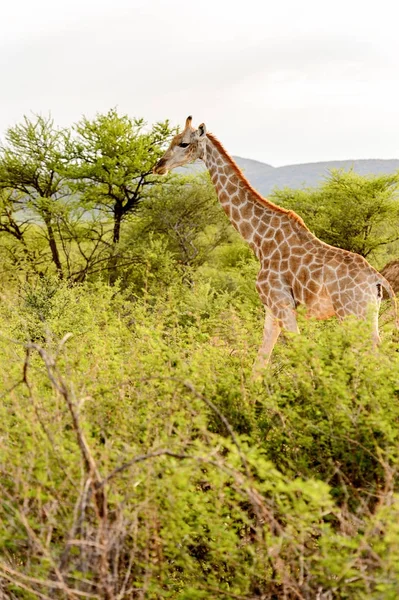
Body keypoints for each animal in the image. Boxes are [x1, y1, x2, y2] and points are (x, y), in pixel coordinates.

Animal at [152, 116, 396, 370]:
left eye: (183, 143)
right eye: (172, 140)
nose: (158, 166)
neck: (259, 241)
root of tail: (378, 280)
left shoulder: (282, 304)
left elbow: (303, 361)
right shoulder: (270, 309)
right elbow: (260, 364)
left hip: (351, 313)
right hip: (366, 316)